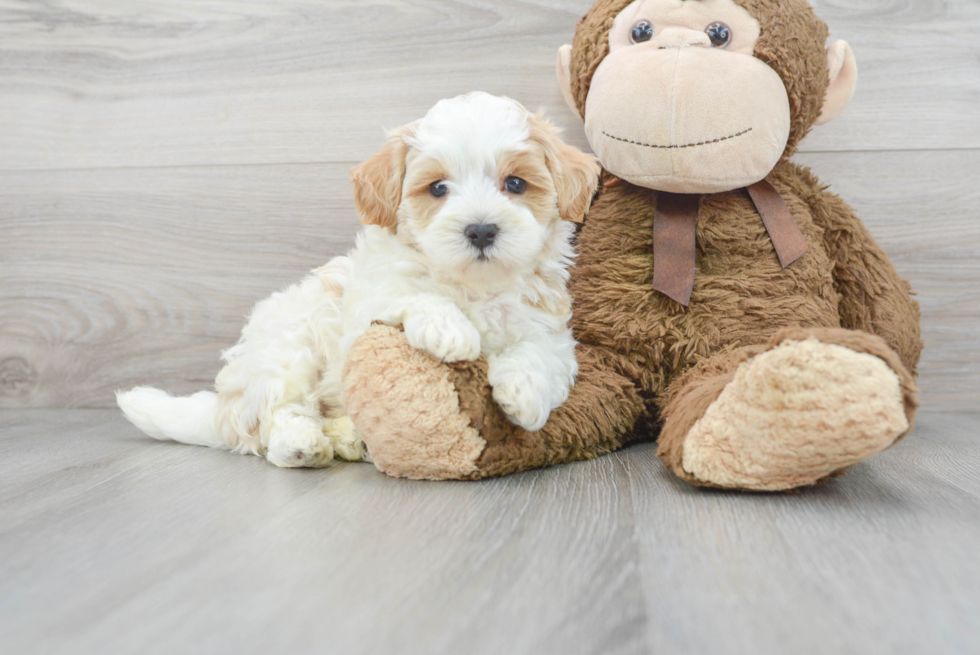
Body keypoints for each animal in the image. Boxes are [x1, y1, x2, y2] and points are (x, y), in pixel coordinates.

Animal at [118, 95, 600, 468]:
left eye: (515, 183)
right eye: (438, 188)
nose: (481, 230)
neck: (473, 285)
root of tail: (226, 403)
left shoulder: (548, 328)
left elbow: (540, 354)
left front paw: (523, 395)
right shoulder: (369, 302)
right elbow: (411, 294)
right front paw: (450, 330)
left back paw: (350, 438)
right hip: (286, 349)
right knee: (276, 418)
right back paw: (301, 445)